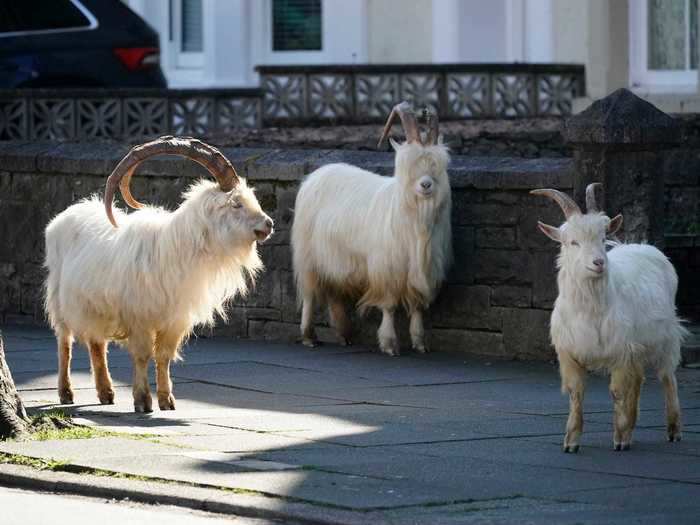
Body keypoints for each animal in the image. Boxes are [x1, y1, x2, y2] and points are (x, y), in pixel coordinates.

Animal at [44, 136, 274, 414]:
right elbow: (143, 354)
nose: (268, 224)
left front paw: (166, 400)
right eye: (236, 203)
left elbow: (163, 356)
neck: (176, 248)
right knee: (64, 343)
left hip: (95, 307)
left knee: (97, 343)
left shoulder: (174, 319)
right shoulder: (140, 316)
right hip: (60, 300)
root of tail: (64, 216)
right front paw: (143, 401)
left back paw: (106, 393)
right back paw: (66, 393)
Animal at [292, 101, 452, 356]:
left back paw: (344, 334)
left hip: (335, 260)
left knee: (334, 293)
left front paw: (419, 342)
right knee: (309, 294)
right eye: (408, 163)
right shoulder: (385, 269)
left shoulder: (422, 270)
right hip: (308, 256)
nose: (426, 185)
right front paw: (389, 344)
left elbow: (417, 306)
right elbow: (389, 306)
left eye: (438, 165)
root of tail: (315, 175)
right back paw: (309, 336)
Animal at [532, 183, 688, 450]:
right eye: (572, 242)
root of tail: (644, 246)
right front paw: (571, 441)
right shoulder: (570, 353)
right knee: (638, 380)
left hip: (666, 337)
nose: (598, 263)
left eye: (603, 238)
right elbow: (576, 392)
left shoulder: (620, 351)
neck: (590, 310)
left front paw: (620, 438)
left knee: (668, 377)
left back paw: (673, 430)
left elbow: (617, 393)